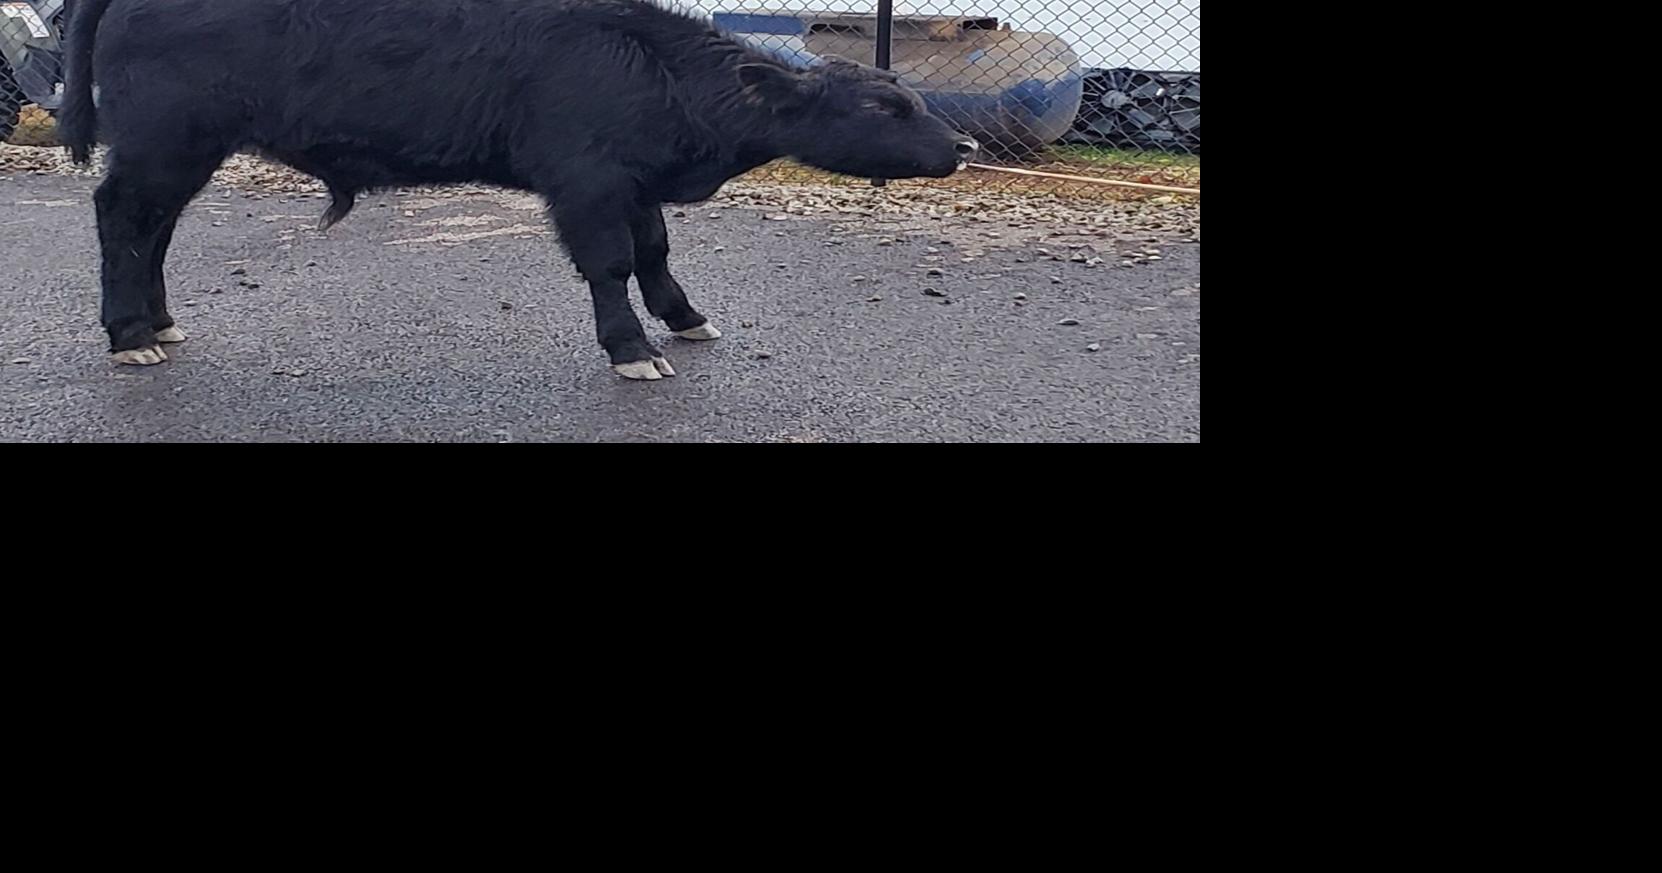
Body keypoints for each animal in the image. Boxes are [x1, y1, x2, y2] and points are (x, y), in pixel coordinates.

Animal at [59, 0, 979, 380]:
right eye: (885, 106)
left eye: (910, 97)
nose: (966, 143)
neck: (650, 69)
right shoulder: (584, 181)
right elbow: (611, 264)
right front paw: (631, 348)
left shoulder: (630, 178)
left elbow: (656, 251)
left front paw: (683, 317)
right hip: (164, 141)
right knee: (120, 219)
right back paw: (128, 333)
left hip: (183, 149)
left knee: (154, 229)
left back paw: (159, 321)